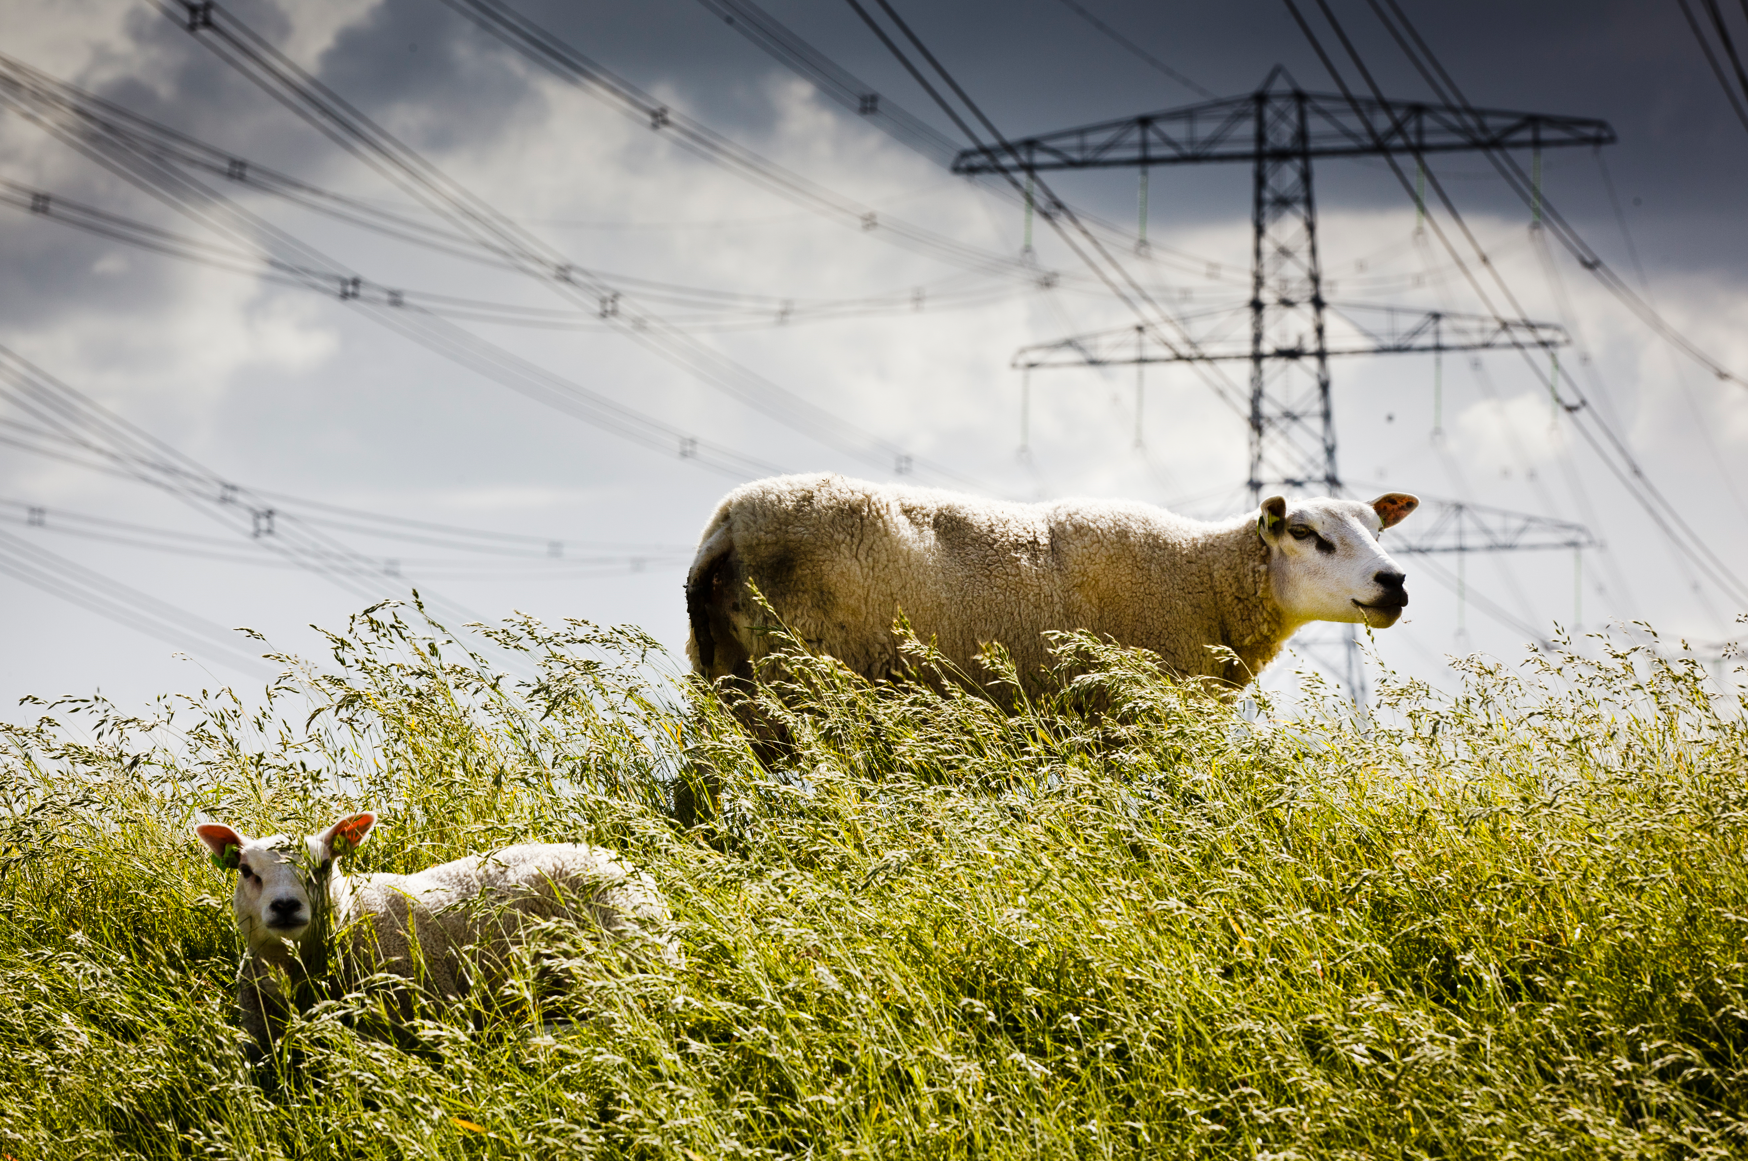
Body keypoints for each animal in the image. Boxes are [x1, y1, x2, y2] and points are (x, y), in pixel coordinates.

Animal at [685, 468, 1419, 692]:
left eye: (1377, 531)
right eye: (1307, 534)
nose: (1394, 581)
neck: (1199, 576)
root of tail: (729, 519)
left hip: (729, 679)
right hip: (806, 677)